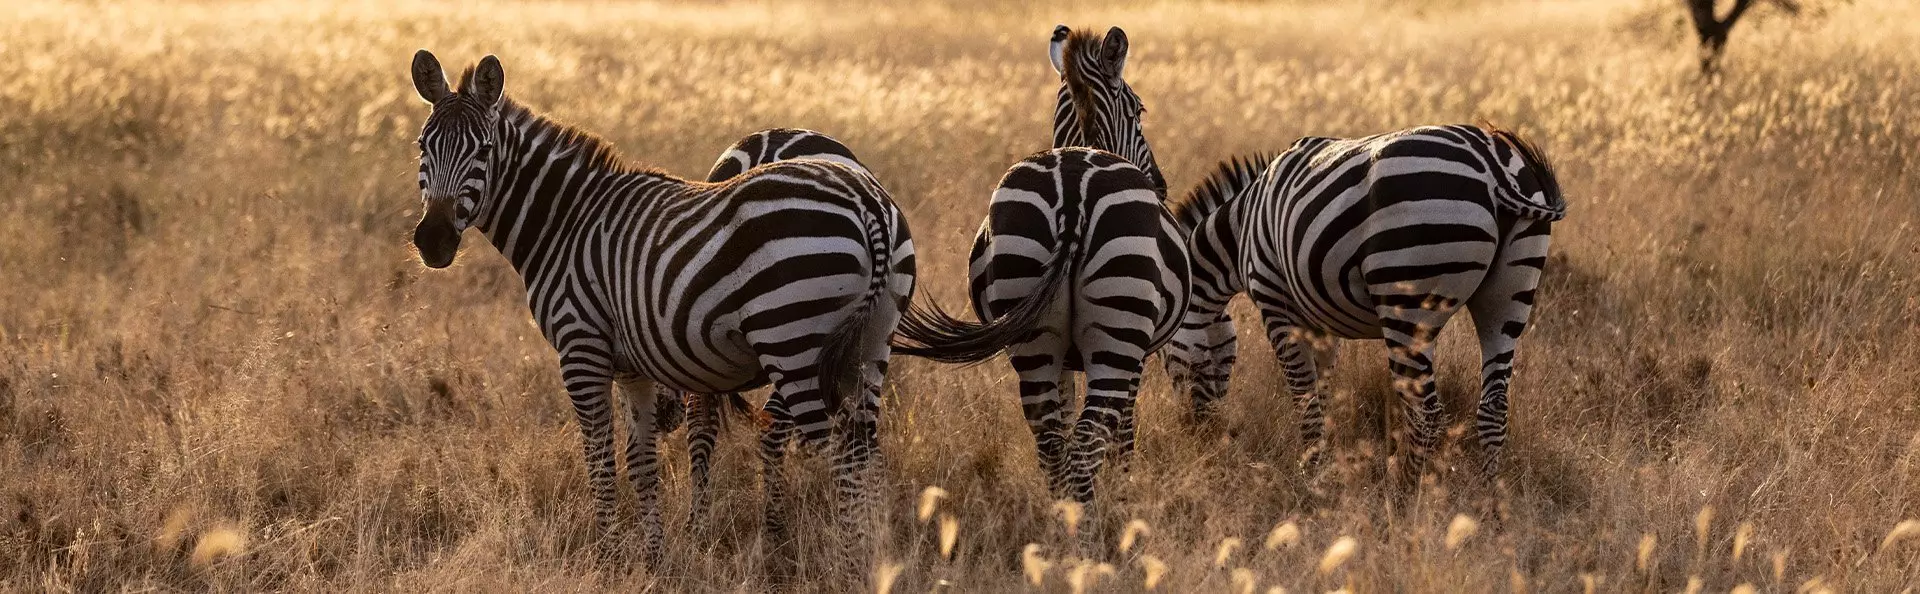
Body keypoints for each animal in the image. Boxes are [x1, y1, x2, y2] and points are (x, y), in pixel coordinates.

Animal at [406, 51, 1042, 579]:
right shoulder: (631, 363)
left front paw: (607, 556)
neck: (567, 221)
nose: (432, 242)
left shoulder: (580, 348)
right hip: (873, 340)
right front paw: (656, 560)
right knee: (866, 449)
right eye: (421, 147)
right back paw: (876, 558)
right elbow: (641, 461)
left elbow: (600, 458)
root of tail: (867, 203)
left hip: (792, 336)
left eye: (483, 152)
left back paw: (846, 565)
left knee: (835, 452)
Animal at [916, 25, 1190, 505]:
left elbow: (1062, 420)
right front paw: (1124, 488)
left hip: (1031, 331)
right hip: (1119, 335)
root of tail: (1073, 191)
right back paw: (1089, 524)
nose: (1159, 183)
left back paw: (1061, 519)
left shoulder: (1062, 356)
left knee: (1050, 441)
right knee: (1084, 444)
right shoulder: (1139, 357)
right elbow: (1123, 434)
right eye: (1139, 111)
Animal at [1162, 124, 1566, 479]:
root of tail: (1494, 166)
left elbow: (1303, 393)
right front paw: (1320, 464)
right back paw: (1487, 501)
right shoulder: (1319, 321)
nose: (1200, 432)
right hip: (1508, 300)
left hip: (1407, 301)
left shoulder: (1274, 301)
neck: (1242, 226)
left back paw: (1402, 496)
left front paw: (1310, 474)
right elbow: (1321, 393)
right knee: (1493, 407)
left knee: (1428, 416)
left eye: (1165, 357)